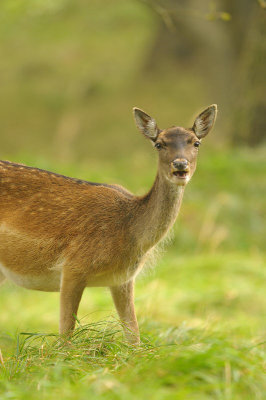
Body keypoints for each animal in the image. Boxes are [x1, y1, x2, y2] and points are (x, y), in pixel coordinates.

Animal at [0, 105, 216, 344]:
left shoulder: (122, 279)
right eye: (159, 144)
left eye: (196, 143)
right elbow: (65, 337)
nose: (180, 164)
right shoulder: (73, 266)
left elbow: (134, 337)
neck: (128, 232)